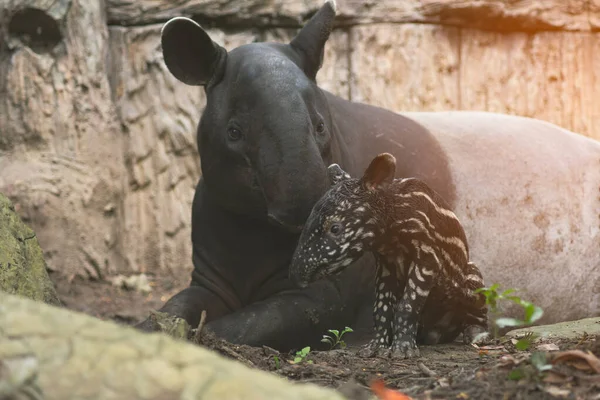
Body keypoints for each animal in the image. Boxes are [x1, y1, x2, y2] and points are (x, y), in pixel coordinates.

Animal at [288, 154, 490, 360]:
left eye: (335, 228)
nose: (295, 275)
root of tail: (440, 332)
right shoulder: (386, 264)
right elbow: (381, 307)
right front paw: (374, 348)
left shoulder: (428, 257)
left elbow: (407, 305)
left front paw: (402, 351)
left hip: (469, 278)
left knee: (478, 299)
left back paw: (477, 335)